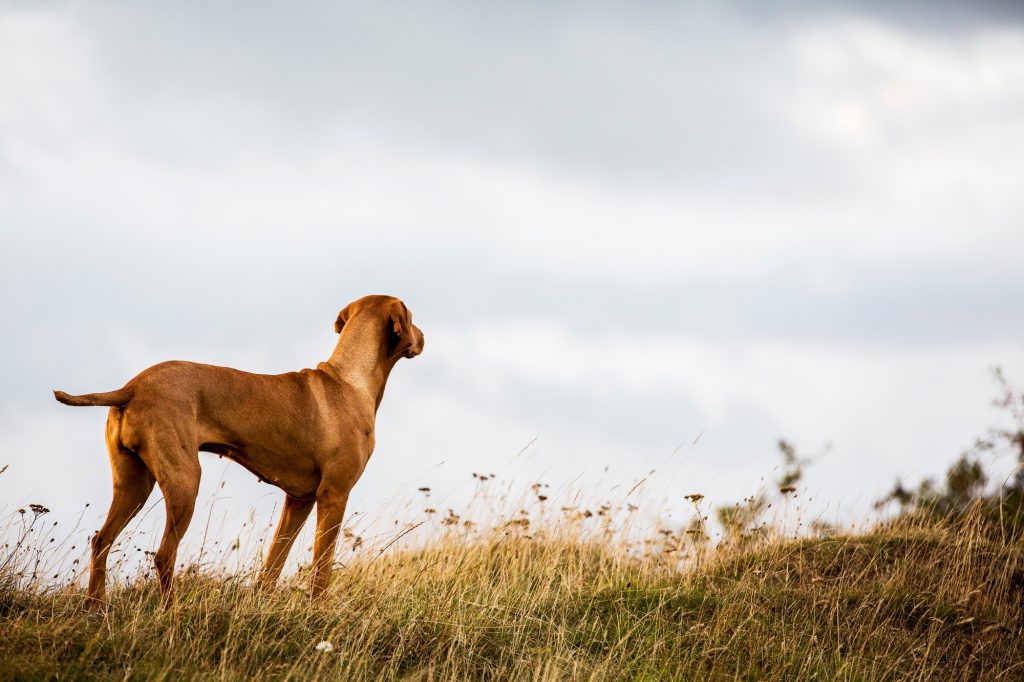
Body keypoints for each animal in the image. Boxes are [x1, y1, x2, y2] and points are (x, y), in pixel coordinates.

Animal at [54, 292, 421, 606]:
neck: (349, 380)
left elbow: (273, 565)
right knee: (163, 554)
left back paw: (95, 608)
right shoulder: (334, 495)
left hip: (133, 485)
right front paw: (319, 610)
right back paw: (171, 613)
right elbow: (322, 568)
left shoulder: (298, 500)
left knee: (101, 541)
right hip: (184, 481)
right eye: (412, 317)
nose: (422, 336)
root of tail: (131, 387)